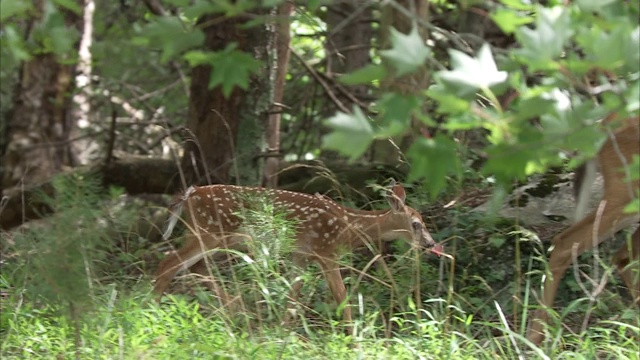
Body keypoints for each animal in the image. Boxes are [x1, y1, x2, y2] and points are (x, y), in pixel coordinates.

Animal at [154, 181, 444, 330]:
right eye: (416, 224)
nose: (431, 244)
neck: (349, 226)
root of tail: (190, 193)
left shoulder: (301, 255)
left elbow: (293, 294)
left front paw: (281, 330)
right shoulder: (326, 252)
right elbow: (342, 298)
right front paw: (353, 336)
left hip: (203, 232)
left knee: (193, 266)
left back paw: (238, 310)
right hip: (211, 231)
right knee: (169, 262)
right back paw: (148, 306)